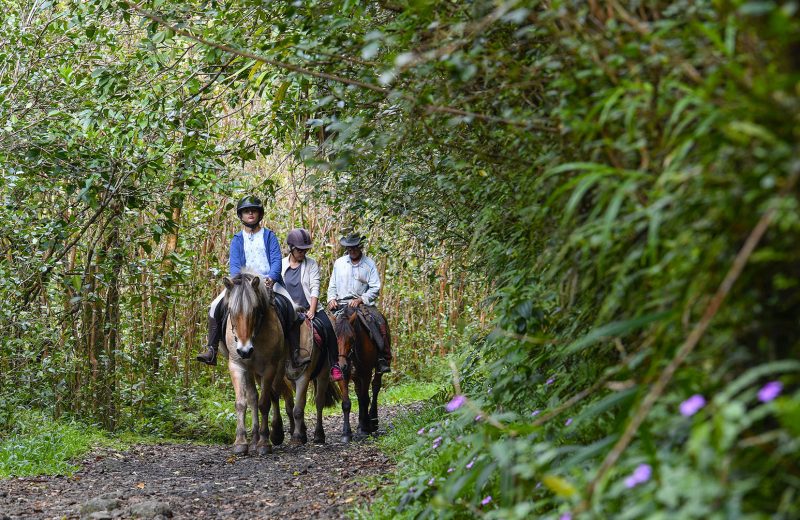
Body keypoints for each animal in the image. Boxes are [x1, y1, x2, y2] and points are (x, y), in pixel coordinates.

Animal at [219, 270, 294, 458]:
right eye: (230, 310)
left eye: (254, 310)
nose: (245, 351)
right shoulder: (237, 366)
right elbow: (242, 403)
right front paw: (241, 442)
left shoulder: (269, 368)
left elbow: (264, 403)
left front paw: (265, 443)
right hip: (251, 371)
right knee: (253, 398)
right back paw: (253, 439)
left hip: (277, 367)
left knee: (274, 393)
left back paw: (276, 434)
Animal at [332, 304, 390, 442]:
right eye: (335, 338)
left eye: (351, 338)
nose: (342, 365)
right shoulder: (344, 376)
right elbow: (346, 403)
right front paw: (346, 434)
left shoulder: (366, 373)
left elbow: (365, 399)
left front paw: (364, 429)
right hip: (356, 376)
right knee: (359, 393)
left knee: (375, 388)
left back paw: (372, 422)